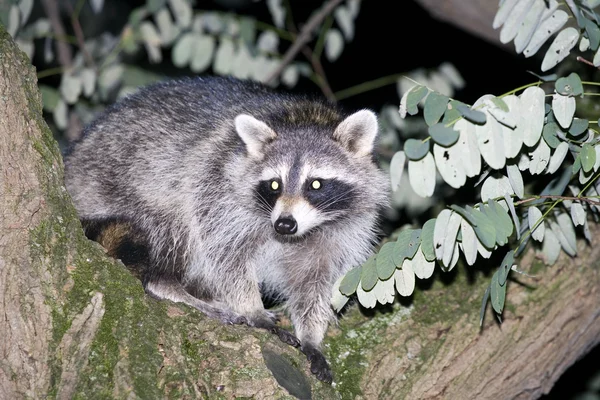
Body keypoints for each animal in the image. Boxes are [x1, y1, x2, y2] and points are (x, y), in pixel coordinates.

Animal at [62, 76, 390, 384]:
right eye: (274, 184)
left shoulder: (345, 230)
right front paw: (252, 309)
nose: (284, 223)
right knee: (171, 227)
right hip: (122, 186)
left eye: (316, 184)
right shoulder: (218, 187)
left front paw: (312, 334)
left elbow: (316, 281)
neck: (304, 119)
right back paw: (170, 284)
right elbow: (226, 255)